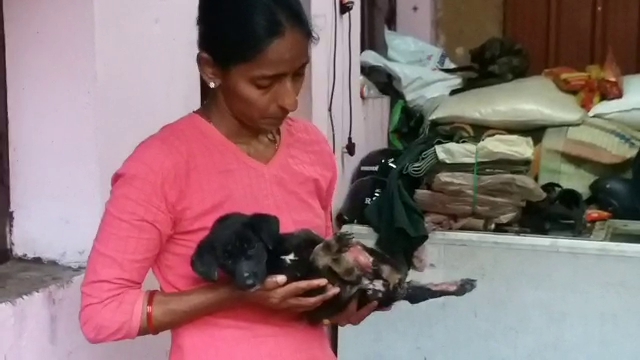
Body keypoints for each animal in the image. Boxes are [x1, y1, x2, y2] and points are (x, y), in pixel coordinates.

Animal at [192, 212, 478, 322]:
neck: (277, 257)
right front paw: (337, 256)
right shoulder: (313, 288)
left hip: (379, 263)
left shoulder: (308, 239)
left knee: (402, 275)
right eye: (226, 259)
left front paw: (339, 253)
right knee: (420, 292)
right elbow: (319, 257)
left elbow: (317, 245)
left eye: (251, 247)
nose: (248, 283)